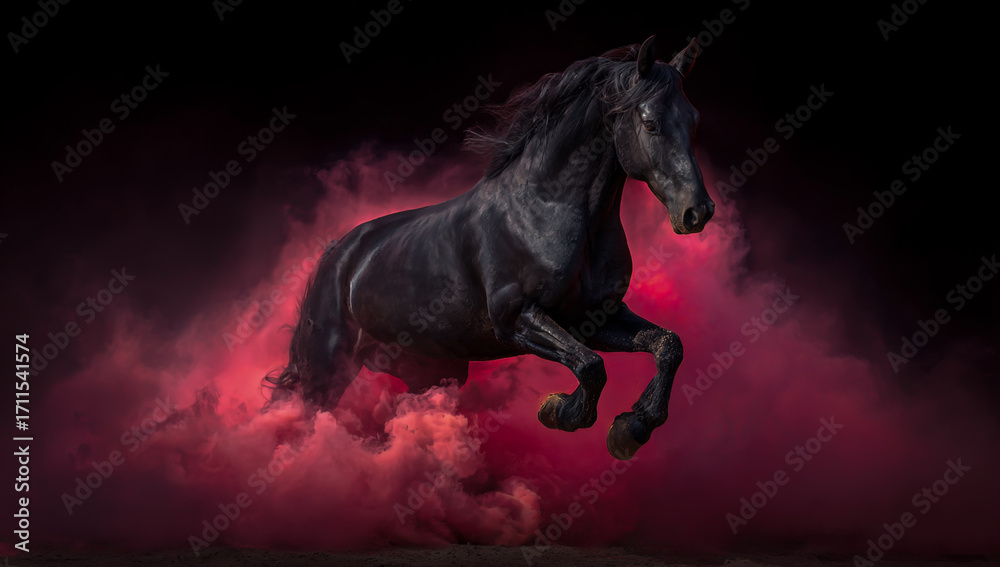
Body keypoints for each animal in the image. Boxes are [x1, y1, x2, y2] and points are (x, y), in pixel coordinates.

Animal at [265, 36, 714, 460]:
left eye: (693, 119)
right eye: (651, 123)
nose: (698, 212)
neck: (545, 209)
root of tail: (337, 254)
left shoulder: (593, 317)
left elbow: (667, 345)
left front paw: (631, 427)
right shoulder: (516, 318)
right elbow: (591, 366)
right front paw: (560, 411)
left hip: (429, 373)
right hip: (326, 370)